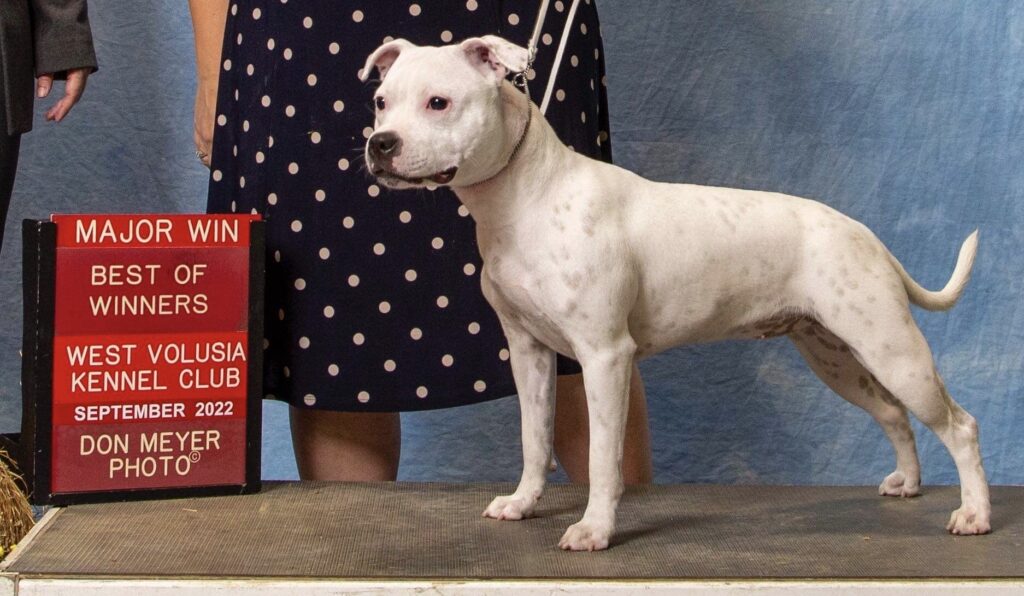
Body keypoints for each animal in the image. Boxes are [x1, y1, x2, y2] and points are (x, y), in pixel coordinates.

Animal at [360, 35, 990, 551]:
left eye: (439, 103)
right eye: (382, 102)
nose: (380, 144)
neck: (525, 198)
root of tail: (865, 235)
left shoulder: (604, 357)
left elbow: (604, 458)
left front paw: (594, 530)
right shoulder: (530, 354)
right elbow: (534, 440)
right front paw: (522, 503)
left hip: (894, 350)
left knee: (959, 426)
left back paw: (974, 514)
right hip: (835, 356)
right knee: (892, 413)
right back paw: (908, 484)